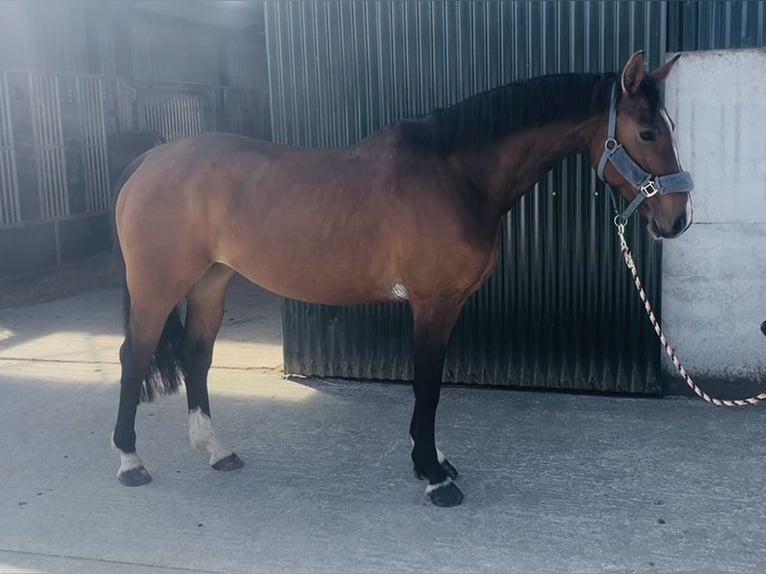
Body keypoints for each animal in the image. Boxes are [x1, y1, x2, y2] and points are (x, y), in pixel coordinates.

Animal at [111, 51, 693, 507]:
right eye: (647, 132)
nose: (678, 219)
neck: (455, 177)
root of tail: (147, 161)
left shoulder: (449, 304)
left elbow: (432, 385)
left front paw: (432, 460)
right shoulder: (432, 302)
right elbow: (427, 385)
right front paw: (435, 478)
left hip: (212, 280)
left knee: (196, 354)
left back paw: (217, 451)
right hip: (158, 287)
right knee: (134, 356)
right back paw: (129, 462)